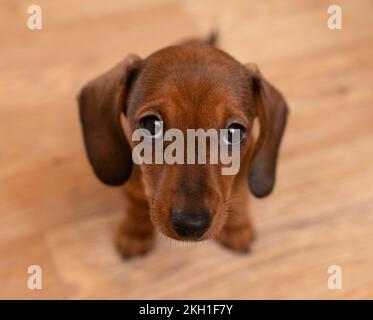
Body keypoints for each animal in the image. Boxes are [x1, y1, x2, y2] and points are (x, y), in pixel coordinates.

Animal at [77, 33, 288, 258]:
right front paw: (136, 232)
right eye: (150, 124)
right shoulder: (132, 187)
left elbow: (240, 199)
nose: (191, 225)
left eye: (234, 131)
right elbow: (136, 205)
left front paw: (236, 228)